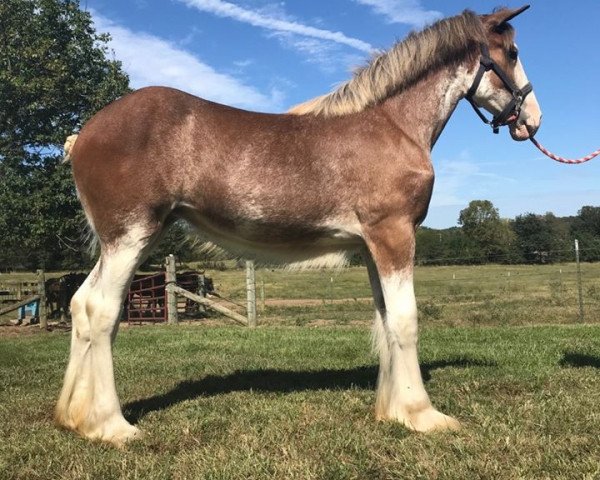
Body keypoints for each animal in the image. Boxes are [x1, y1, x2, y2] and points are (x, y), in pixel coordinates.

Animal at [57, 5, 544, 446]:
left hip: (127, 241)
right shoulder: (393, 234)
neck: (392, 125)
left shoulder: (372, 246)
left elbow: (385, 320)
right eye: (513, 51)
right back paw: (111, 425)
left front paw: (392, 410)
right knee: (102, 310)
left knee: (82, 305)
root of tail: (83, 134)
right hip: (130, 236)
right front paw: (422, 414)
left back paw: (74, 417)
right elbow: (406, 319)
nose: (532, 119)